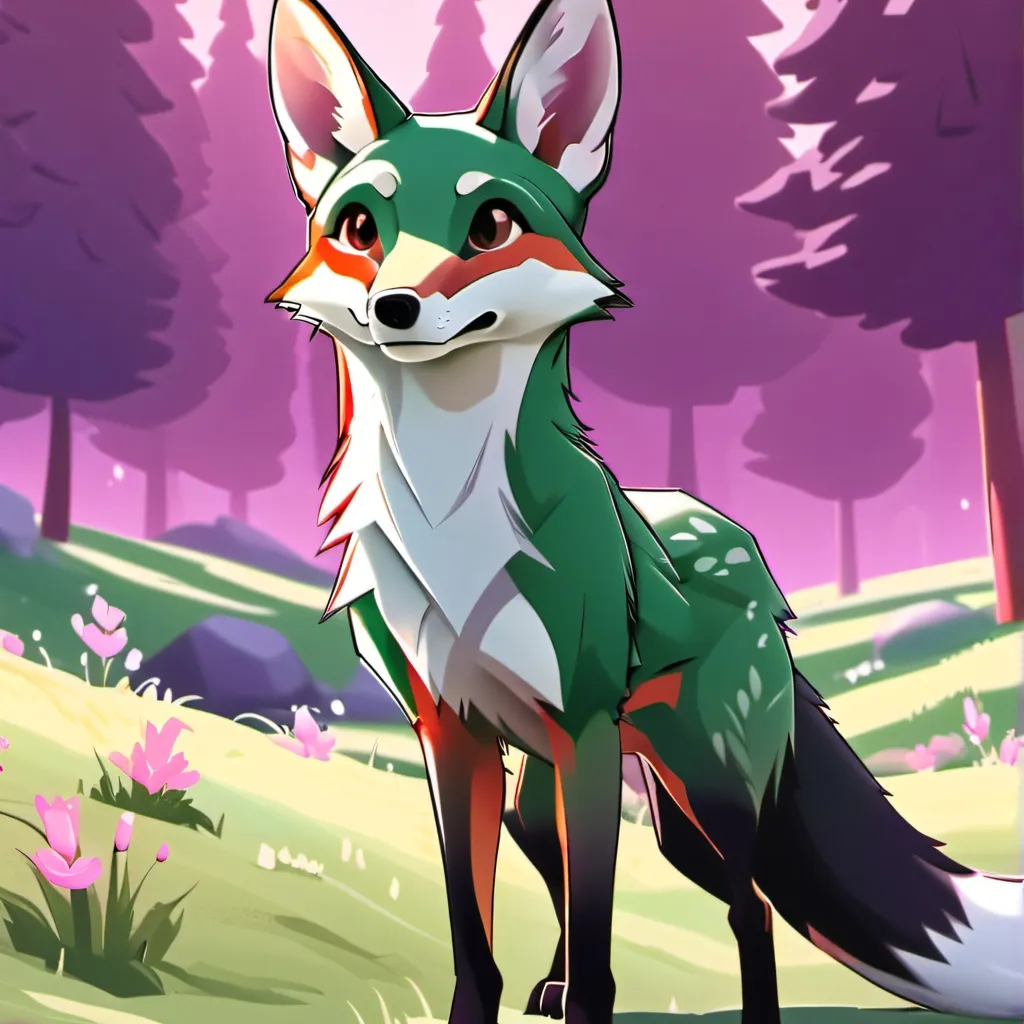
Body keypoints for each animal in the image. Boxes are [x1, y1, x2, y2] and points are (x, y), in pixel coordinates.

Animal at [263, 0, 1024, 1021]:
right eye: (357, 225)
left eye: (491, 222)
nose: (396, 307)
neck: (446, 511)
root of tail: (760, 573)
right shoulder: (452, 736)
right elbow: (475, 943)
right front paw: (504, 995)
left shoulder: (582, 729)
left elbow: (601, 944)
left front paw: (584, 1000)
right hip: (552, 797)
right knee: (571, 880)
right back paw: (546, 984)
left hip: (703, 798)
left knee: (751, 909)